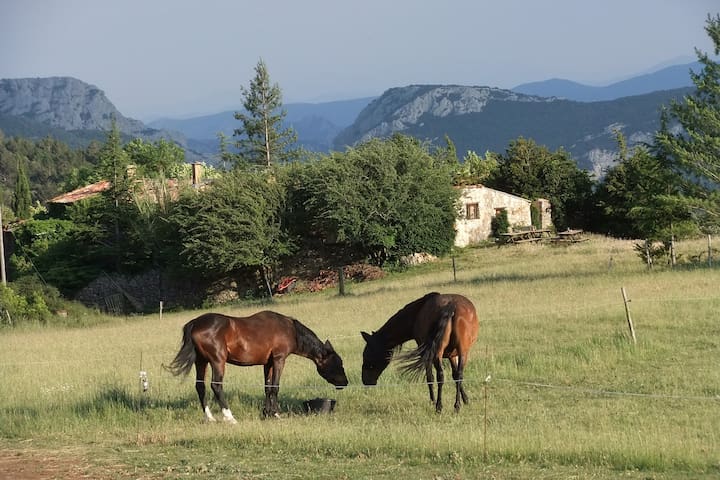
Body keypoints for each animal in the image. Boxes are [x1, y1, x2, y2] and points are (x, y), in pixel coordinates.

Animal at [169, 312, 348, 420]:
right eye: (338, 363)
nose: (345, 382)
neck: (290, 330)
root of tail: (196, 323)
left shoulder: (267, 363)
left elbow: (267, 388)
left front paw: (266, 413)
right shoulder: (279, 359)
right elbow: (275, 387)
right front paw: (276, 413)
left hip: (201, 362)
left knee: (201, 387)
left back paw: (210, 418)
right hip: (217, 361)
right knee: (216, 385)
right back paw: (230, 417)